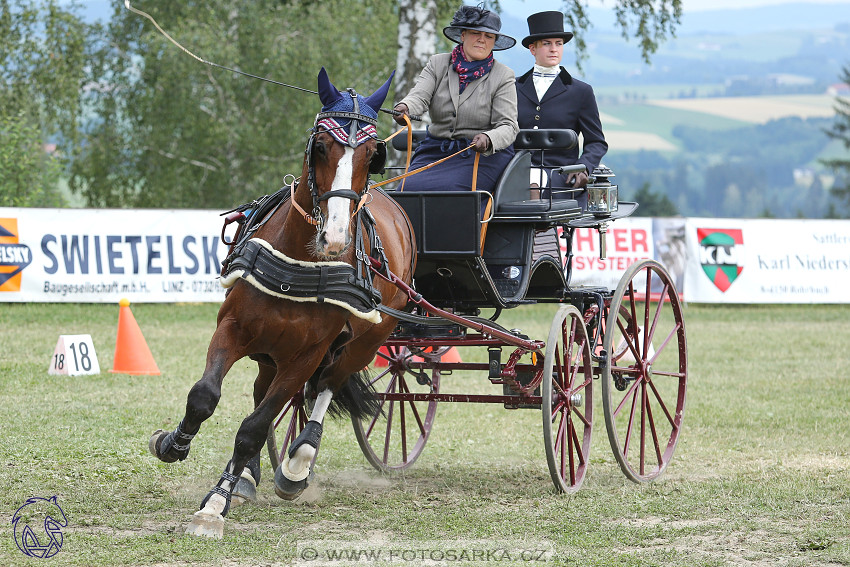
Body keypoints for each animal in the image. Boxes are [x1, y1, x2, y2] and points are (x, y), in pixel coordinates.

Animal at [147, 69, 418, 540]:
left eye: (372, 154)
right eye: (321, 145)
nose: (334, 239)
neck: (302, 261)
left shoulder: (305, 356)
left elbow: (255, 426)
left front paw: (214, 506)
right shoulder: (233, 327)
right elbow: (204, 397)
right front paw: (173, 445)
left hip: (368, 342)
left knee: (327, 385)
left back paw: (296, 465)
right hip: (268, 347)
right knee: (264, 391)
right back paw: (246, 476)